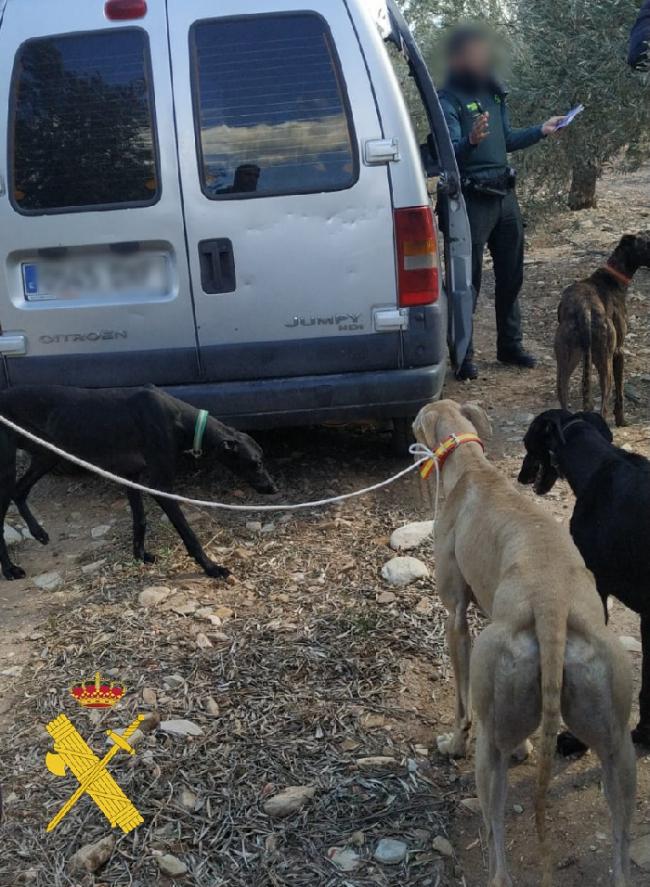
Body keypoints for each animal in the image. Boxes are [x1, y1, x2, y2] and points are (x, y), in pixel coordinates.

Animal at [0, 386, 276, 580]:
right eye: (256, 463)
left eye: (262, 459)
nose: (273, 488)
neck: (178, 418)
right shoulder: (161, 487)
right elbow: (188, 533)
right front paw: (211, 567)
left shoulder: (131, 477)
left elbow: (140, 520)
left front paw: (140, 554)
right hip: (12, 465)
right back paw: (10, 569)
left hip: (47, 455)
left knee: (19, 491)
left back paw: (38, 532)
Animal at [416, 398, 632, 884]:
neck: (472, 469)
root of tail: (552, 606)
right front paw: (525, 747)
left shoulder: (456, 617)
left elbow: (461, 700)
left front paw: (452, 743)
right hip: (616, 744)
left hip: (490, 755)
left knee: (498, 857)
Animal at [552, 232, 648, 426]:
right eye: (649, 243)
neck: (612, 276)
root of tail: (584, 309)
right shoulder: (618, 352)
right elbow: (620, 393)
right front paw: (621, 420)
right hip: (605, 361)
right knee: (604, 404)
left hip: (566, 359)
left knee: (563, 395)